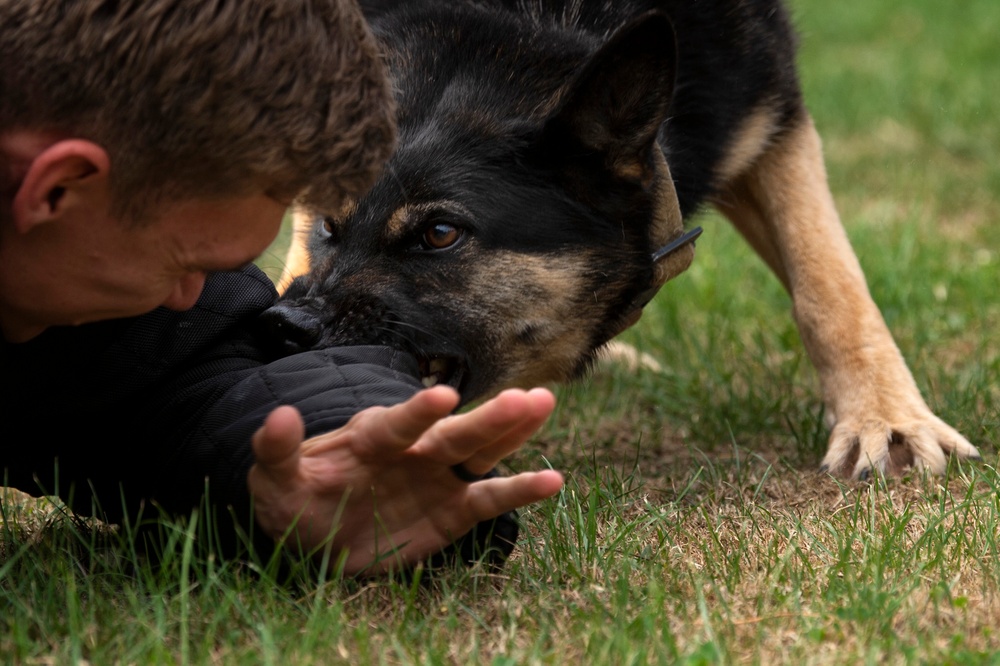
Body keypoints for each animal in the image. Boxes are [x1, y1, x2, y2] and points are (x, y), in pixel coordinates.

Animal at [262, 0, 980, 478]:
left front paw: (885, 418)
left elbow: (827, 280)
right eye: (330, 222)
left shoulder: (769, 115)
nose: (285, 328)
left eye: (441, 234)